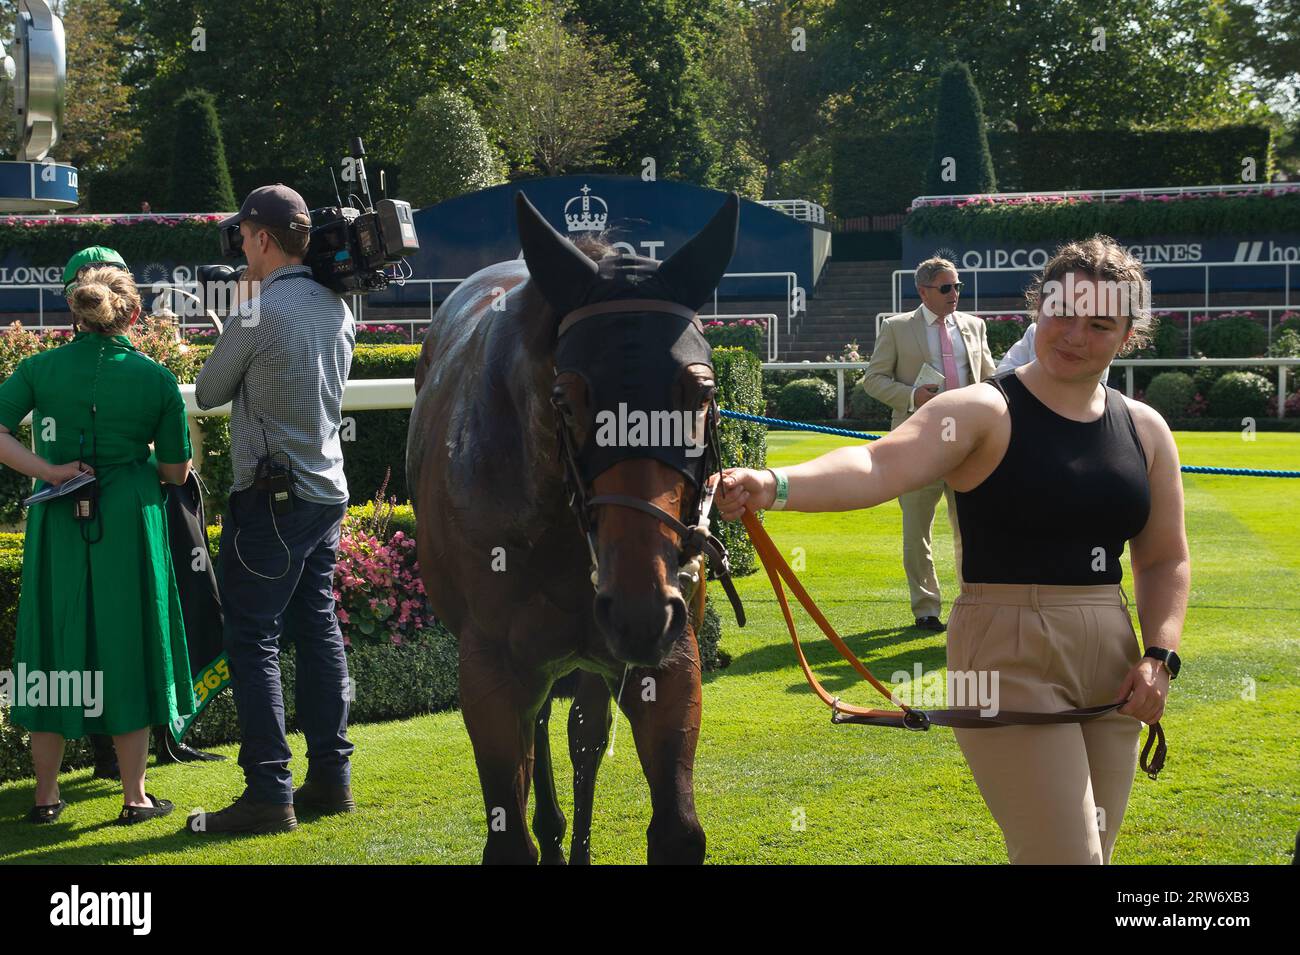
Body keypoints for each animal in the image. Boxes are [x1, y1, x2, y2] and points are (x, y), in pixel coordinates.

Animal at [407, 189, 742, 864]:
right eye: (566, 399)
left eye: (700, 395)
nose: (639, 608)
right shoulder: (491, 669)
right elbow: (508, 832)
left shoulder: (670, 656)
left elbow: (675, 828)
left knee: (584, 734)